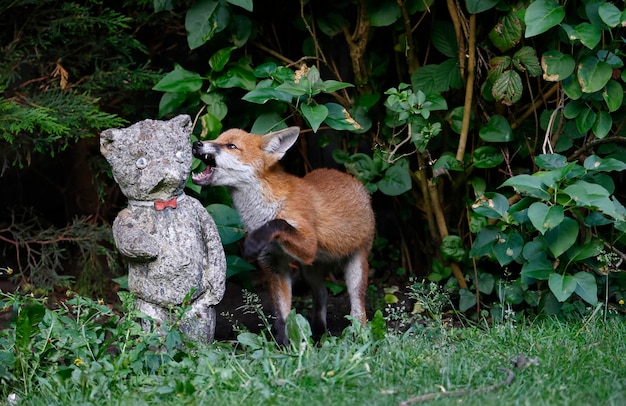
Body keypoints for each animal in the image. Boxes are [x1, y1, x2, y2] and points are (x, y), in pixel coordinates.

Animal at [190, 127, 372, 346]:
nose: (196, 143)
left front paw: (253, 242)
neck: (261, 212)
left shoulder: (309, 244)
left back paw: (359, 339)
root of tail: (353, 180)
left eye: (231, 146)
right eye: (217, 138)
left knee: (358, 310)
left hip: (355, 267)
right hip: (310, 269)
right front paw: (285, 344)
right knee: (322, 293)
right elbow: (283, 314)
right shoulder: (274, 263)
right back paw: (319, 331)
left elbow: (279, 223)